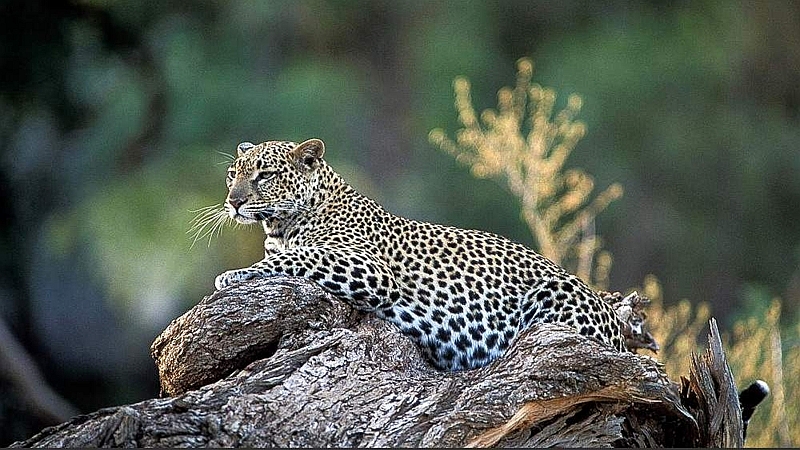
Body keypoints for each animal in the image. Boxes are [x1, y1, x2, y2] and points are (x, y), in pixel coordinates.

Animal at [211, 138, 627, 371]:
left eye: (264, 175)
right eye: (233, 174)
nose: (234, 202)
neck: (279, 227)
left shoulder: (370, 270)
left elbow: (297, 258)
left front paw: (232, 276)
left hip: (555, 293)